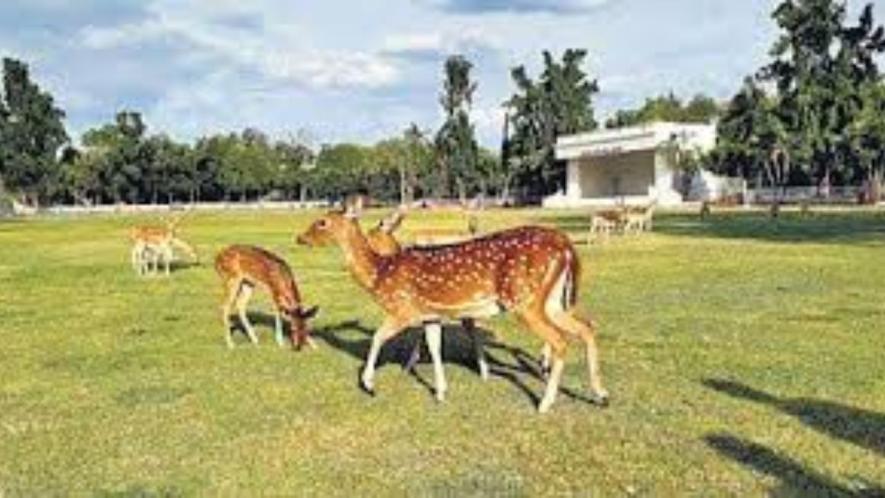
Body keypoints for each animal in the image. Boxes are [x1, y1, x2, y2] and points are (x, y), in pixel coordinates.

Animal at [297, 204, 608, 413]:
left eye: (322, 222)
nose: (300, 238)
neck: (379, 275)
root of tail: (567, 246)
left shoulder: (403, 309)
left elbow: (377, 337)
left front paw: (369, 384)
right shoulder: (431, 316)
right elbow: (435, 347)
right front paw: (441, 393)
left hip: (525, 299)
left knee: (560, 340)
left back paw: (545, 403)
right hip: (552, 300)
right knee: (587, 327)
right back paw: (601, 394)